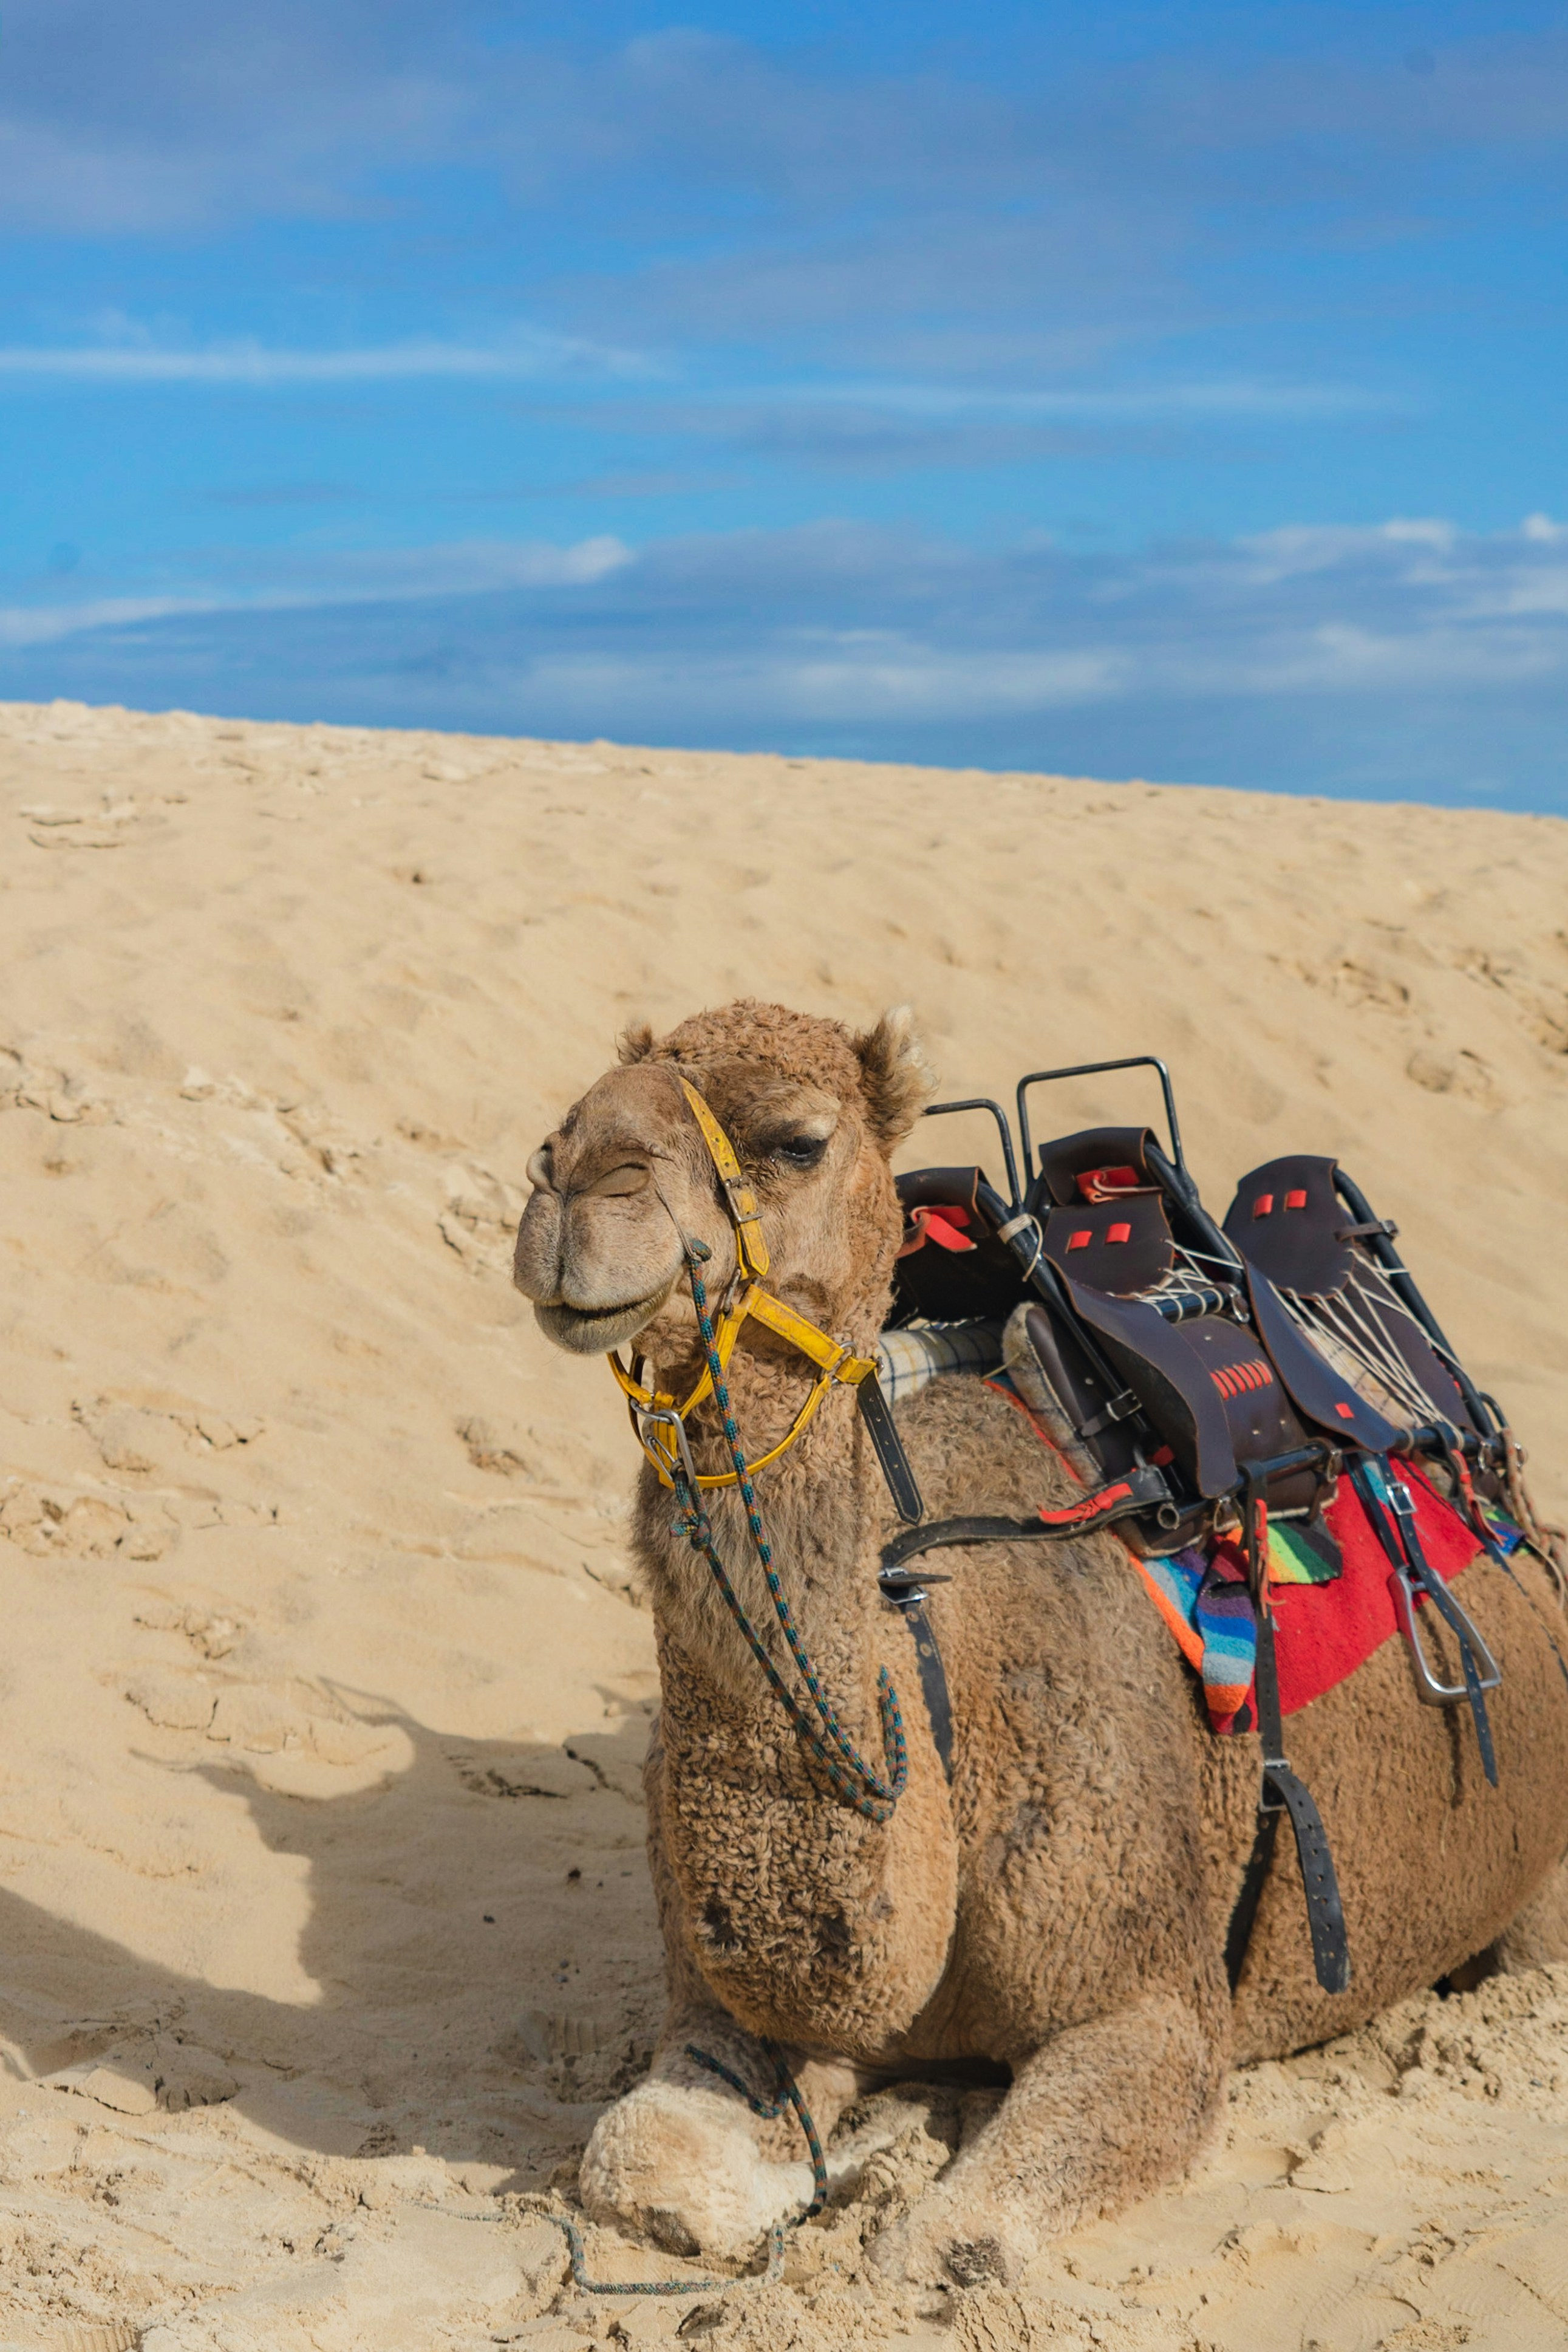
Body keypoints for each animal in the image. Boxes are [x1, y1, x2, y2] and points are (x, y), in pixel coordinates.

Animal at [512, 998, 1568, 2287]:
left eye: (798, 1141)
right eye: (578, 1106)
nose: (573, 1179)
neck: (927, 1654)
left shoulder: (1148, 2006)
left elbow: (940, 2245)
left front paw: (895, 2141)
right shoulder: (726, 2004)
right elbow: (634, 2162)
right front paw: (858, 2134)